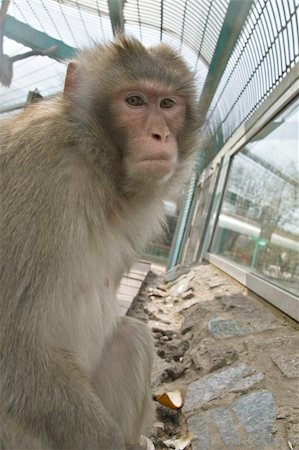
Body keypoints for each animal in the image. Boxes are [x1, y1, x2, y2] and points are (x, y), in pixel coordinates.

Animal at [0, 37, 202, 448]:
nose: (160, 135)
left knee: (132, 335)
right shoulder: (34, 168)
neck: (97, 167)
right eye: (135, 101)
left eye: (168, 104)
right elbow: (11, 337)